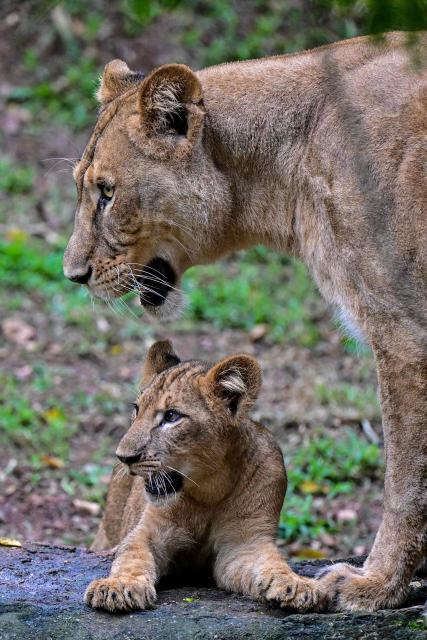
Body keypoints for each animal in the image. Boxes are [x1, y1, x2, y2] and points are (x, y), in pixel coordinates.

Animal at [85, 340, 325, 613]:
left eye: (171, 416)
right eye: (137, 410)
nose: (123, 457)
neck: (208, 488)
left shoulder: (245, 543)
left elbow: (273, 564)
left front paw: (297, 585)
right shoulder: (149, 531)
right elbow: (131, 557)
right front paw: (117, 587)